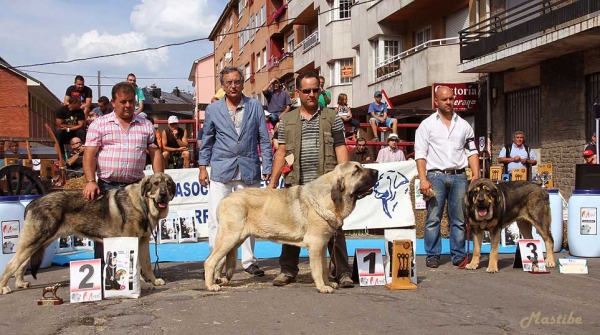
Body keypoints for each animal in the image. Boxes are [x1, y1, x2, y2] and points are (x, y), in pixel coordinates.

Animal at [0, 172, 173, 296]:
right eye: (156, 184)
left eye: (168, 184)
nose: (163, 194)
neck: (143, 203)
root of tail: (33, 203)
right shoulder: (131, 241)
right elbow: (135, 266)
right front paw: (142, 284)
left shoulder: (142, 241)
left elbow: (146, 264)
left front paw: (153, 281)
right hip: (35, 240)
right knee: (12, 264)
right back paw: (3, 287)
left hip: (40, 242)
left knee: (21, 264)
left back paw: (20, 283)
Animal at [204, 163, 378, 294]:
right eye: (356, 170)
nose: (377, 171)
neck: (329, 197)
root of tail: (224, 199)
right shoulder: (315, 244)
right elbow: (317, 269)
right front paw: (322, 287)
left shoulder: (321, 246)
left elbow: (323, 267)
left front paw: (328, 283)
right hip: (229, 237)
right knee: (210, 261)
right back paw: (211, 285)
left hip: (235, 239)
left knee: (220, 260)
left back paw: (219, 280)